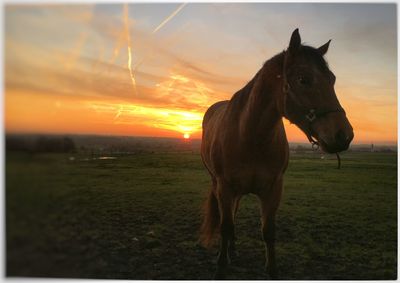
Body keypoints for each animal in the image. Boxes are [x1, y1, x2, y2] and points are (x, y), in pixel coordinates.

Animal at [200, 29, 354, 280]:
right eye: (303, 79)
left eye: (332, 79)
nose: (344, 135)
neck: (250, 137)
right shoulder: (224, 187)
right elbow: (225, 226)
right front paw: (221, 266)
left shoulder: (273, 189)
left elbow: (268, 231)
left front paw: (271, 269)